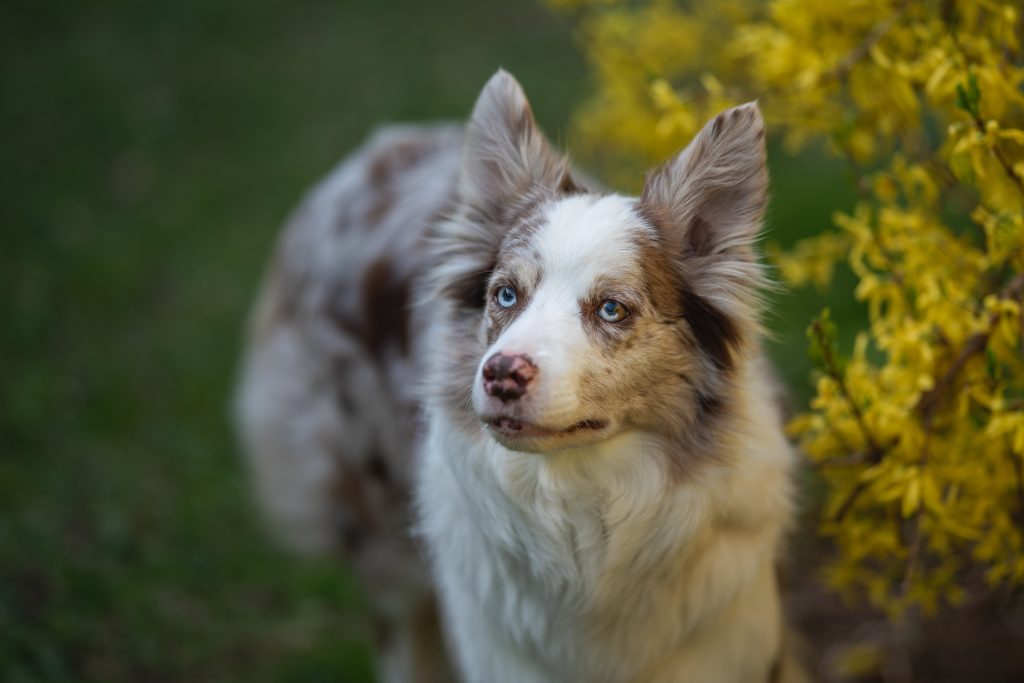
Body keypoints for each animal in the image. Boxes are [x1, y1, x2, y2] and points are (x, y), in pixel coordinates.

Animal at [235, 70, 802, 683]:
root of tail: (382, 145)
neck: (585, 516)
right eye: (506, 294)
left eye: (612, 309)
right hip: (380, 537)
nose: (501, 373)